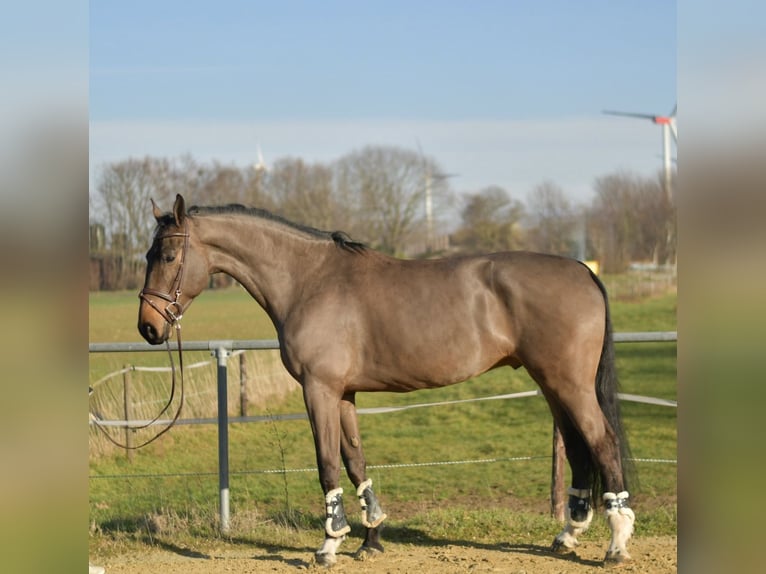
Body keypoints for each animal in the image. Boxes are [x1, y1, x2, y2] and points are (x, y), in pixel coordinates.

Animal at [137, 194, 636, 566]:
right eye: (147, 254)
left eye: (167, 255)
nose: (148, 328)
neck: (309, 281)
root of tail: (582, 270)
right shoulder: (344, 394)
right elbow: (355, 460)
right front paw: (371, 537)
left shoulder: (318, 390)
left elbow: (326, 463)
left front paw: (329, 543)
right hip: (552, 384)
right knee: (579, 449)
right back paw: (567, 536)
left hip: (569, 385)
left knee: (602, 442)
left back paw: (615, 544)